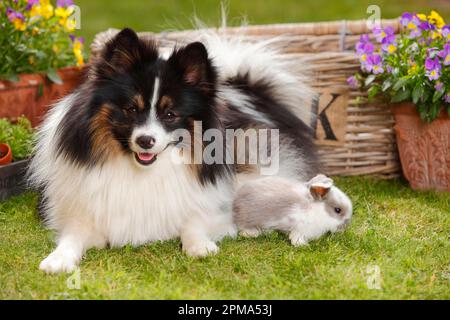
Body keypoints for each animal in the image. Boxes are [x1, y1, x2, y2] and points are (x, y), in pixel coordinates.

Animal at [28, 28, 318, 272]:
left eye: (170, 114)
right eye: (131, 109)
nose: (145, 140)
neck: (144, 170)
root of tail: (247, 90)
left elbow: (194, 222)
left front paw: (200, 245)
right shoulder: (81, 215)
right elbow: (72, 237)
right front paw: (57, 259)